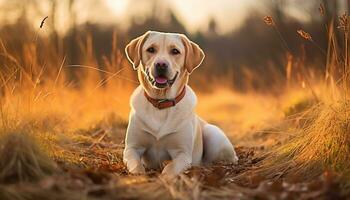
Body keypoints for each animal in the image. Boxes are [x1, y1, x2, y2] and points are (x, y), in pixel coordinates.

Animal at [122, 31, 238, 177]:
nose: (161, 64)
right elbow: (136, 164)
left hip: (212, 134)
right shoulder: (131, 148)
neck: (161, 103)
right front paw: (139, 176)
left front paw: (164, 178)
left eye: (175, 51)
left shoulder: (182, 154)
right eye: (151, 49)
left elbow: (170, 169)